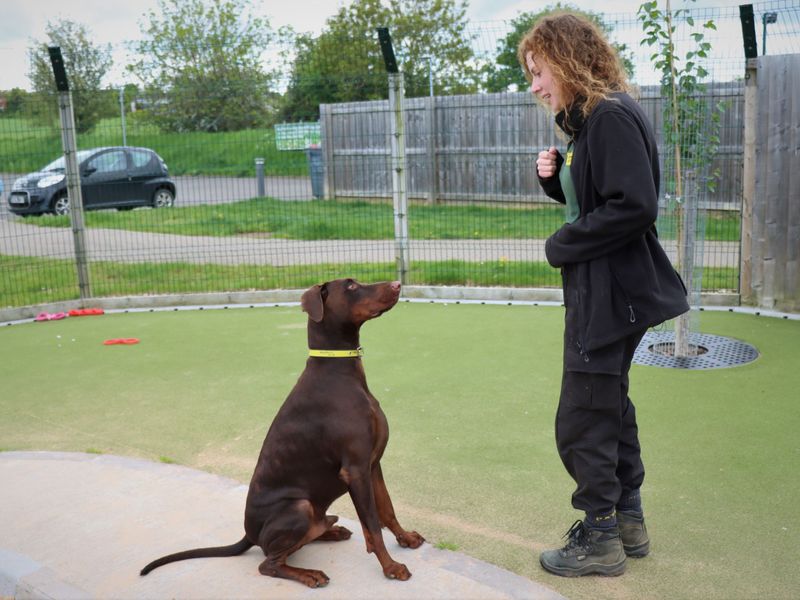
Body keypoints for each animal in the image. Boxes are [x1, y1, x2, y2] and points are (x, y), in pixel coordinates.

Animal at [141, 280, 424, 584]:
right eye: (350, 286)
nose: (397, 284)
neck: (339, 372)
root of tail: (249, 533)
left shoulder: (373, 463)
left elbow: (387, 509)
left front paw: (406, 538)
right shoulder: (356, 468)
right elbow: (371, 525)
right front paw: (391, 567)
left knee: (308, 534)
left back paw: (331, 530)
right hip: (299, 508)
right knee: (269, 563)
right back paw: (309, 574)